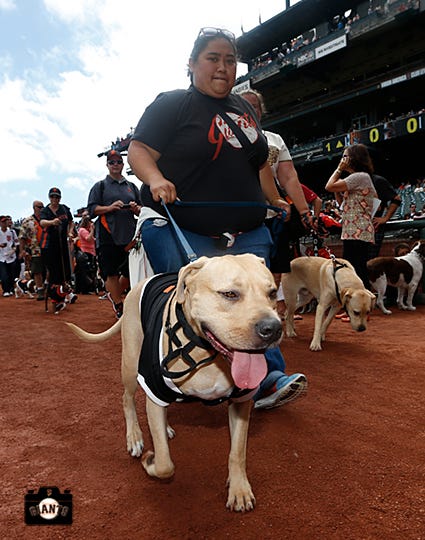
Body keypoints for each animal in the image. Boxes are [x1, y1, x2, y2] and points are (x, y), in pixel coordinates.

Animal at [66, 255, 282, 512]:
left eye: (272, 293)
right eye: (230, 294)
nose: (273, 328)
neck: (206, 352)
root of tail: (142, 282)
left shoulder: (241, 400)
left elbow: (237, 451)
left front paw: (238, 488)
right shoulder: (152, 387)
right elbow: (164, 464)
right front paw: (149, 462)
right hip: (130, 365)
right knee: (126, 399)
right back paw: (135, 436)